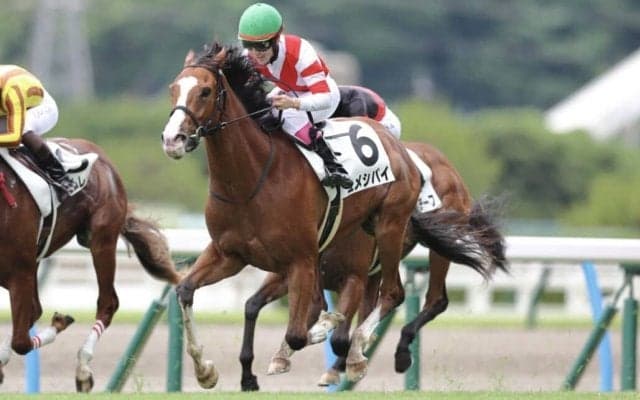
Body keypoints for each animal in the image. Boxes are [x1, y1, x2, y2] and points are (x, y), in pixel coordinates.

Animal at [0, 138, 181, 392]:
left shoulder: (20, 272)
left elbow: (21, 342)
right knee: (34, 311)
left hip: (101, 239)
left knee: (108, 303)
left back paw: (83, 369)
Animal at [238, 140, 507, 390]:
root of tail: (445, 163)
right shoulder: (294, 269)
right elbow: (253, 305)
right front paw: (255, 372)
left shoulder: (352, 277)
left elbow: (338, 336)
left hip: (437, 241)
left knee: (434, 300)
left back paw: (400, 352)